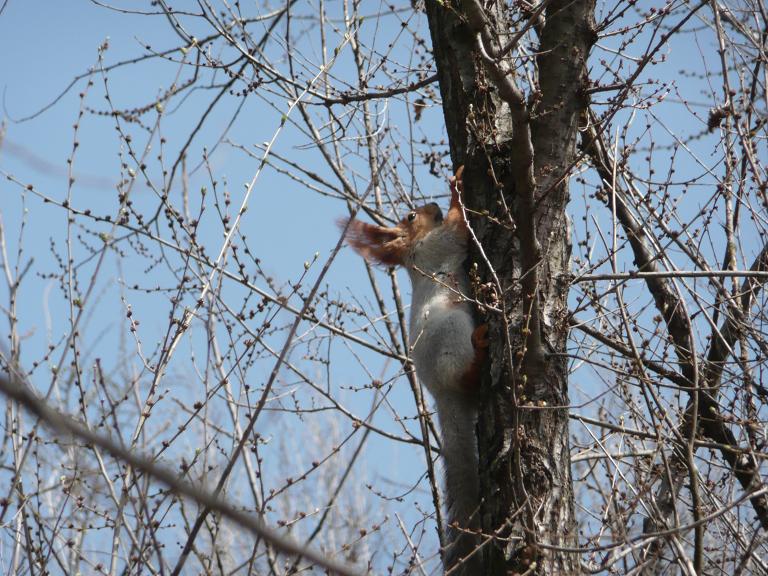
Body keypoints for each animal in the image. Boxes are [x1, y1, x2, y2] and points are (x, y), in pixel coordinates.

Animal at [340, 165, 486, 572]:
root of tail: (443, 396)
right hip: (452, 333)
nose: (430, 205)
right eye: (409, 216)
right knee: (466, 372)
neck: (414, 252)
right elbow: (458, 227)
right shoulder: (441, 243)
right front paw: (456, 190)